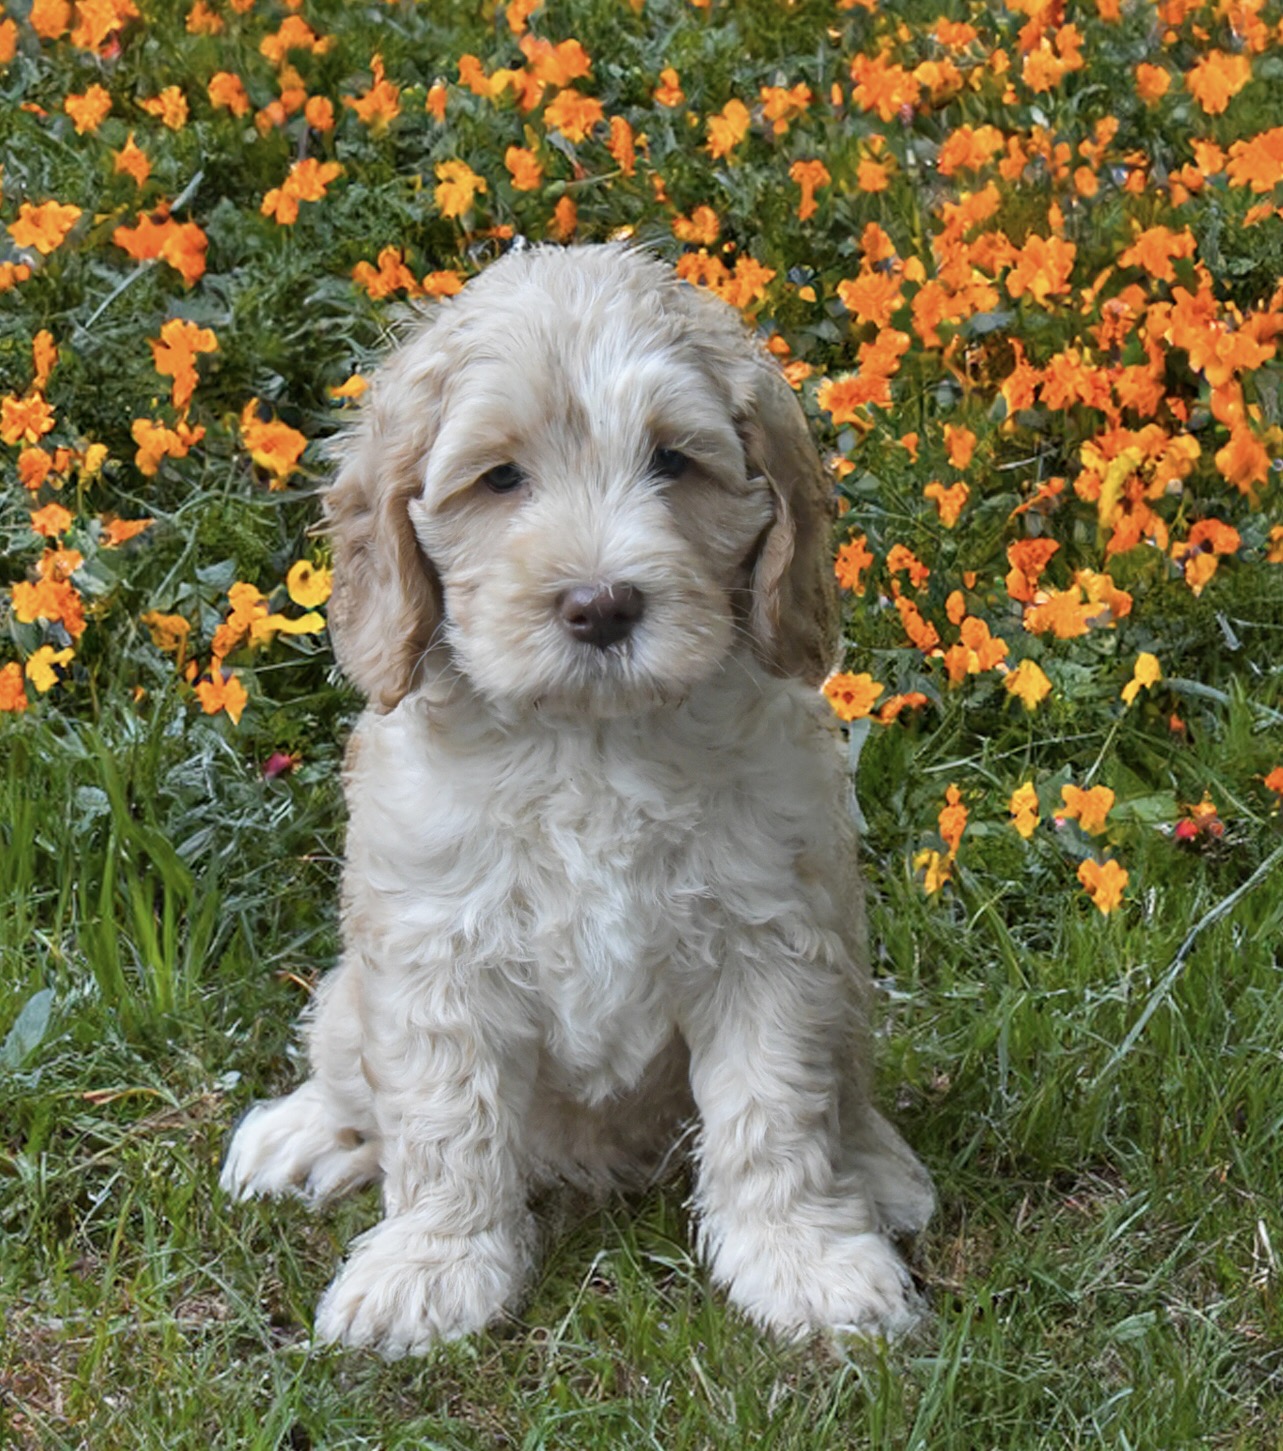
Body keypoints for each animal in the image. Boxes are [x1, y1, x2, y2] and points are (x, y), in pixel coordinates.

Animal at [220, 244, 934, 1356]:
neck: (592, 741)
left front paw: (803, 1261)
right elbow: (444, 1122)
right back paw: (306, 1135)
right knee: (345, 1062)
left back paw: (880, 1169)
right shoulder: (433, 949)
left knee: (844, 1094)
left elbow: (774, 1113)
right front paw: (432, 1267)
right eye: (499, 478)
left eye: (673, 462)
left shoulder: (774, 943)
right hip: (353, 993)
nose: (601, 605)